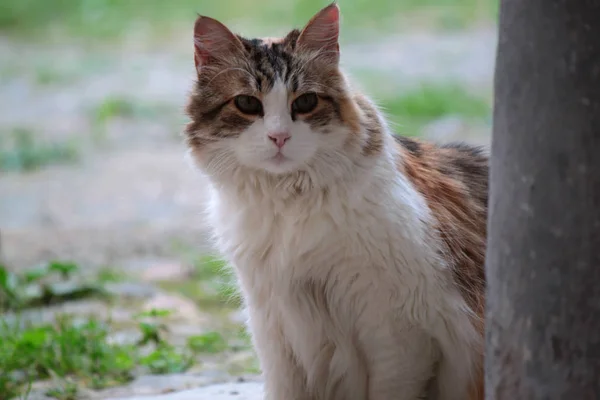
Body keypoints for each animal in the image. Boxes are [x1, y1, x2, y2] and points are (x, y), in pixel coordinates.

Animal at [184, 3, 488, 400]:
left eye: (306, 102)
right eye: (248, 103)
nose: (279, 137)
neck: (288, 204)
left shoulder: (398, 332)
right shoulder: (273, 327)